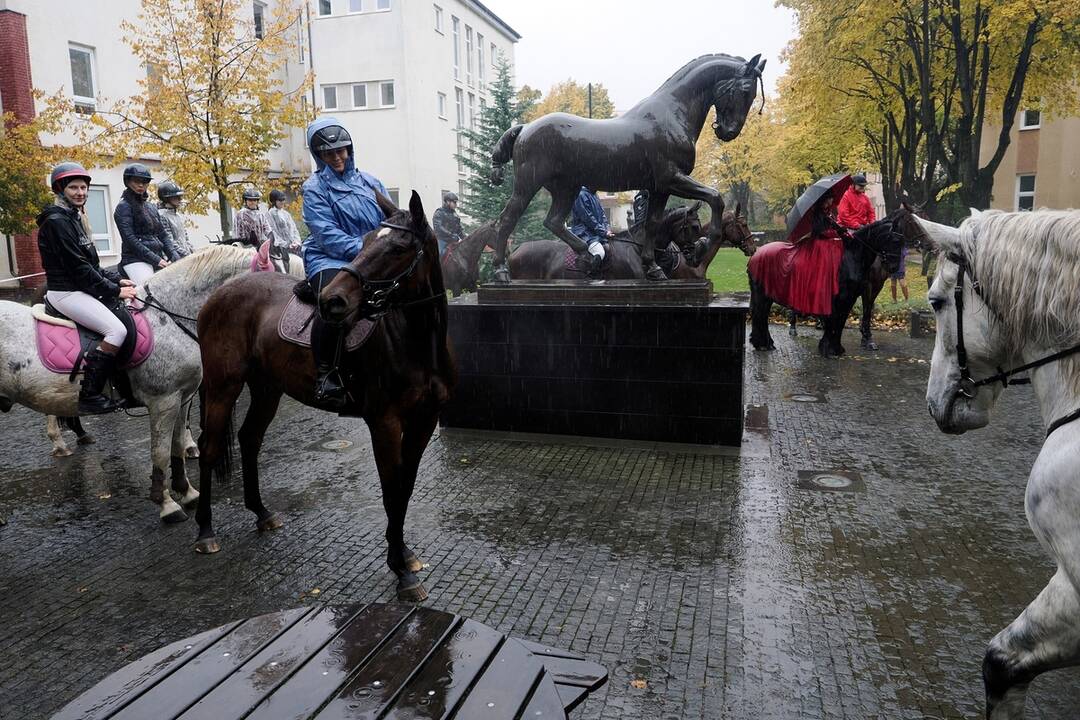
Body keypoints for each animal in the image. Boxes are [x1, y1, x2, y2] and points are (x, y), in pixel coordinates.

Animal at [0, 245, 298, 520]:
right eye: (274, 283)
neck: (169, 316)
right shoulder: (163, 401)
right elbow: (160, 452)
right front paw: (166, 504)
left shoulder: (183, 397)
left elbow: (177, 445)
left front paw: (187, 492)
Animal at [194, 193, 455, 604]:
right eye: (364, 243)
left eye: (398, 248)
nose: (333, 301)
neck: (416, 345)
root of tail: (218, 295)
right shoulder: (384, 423)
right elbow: (391, 491)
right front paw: (400, 571)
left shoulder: (424, 421)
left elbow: (406, 488)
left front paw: (404, 556)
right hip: (223, 387)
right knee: (209, 448)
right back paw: (205, 531)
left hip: (267, 388)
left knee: (249, 439)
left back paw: (262, 513)